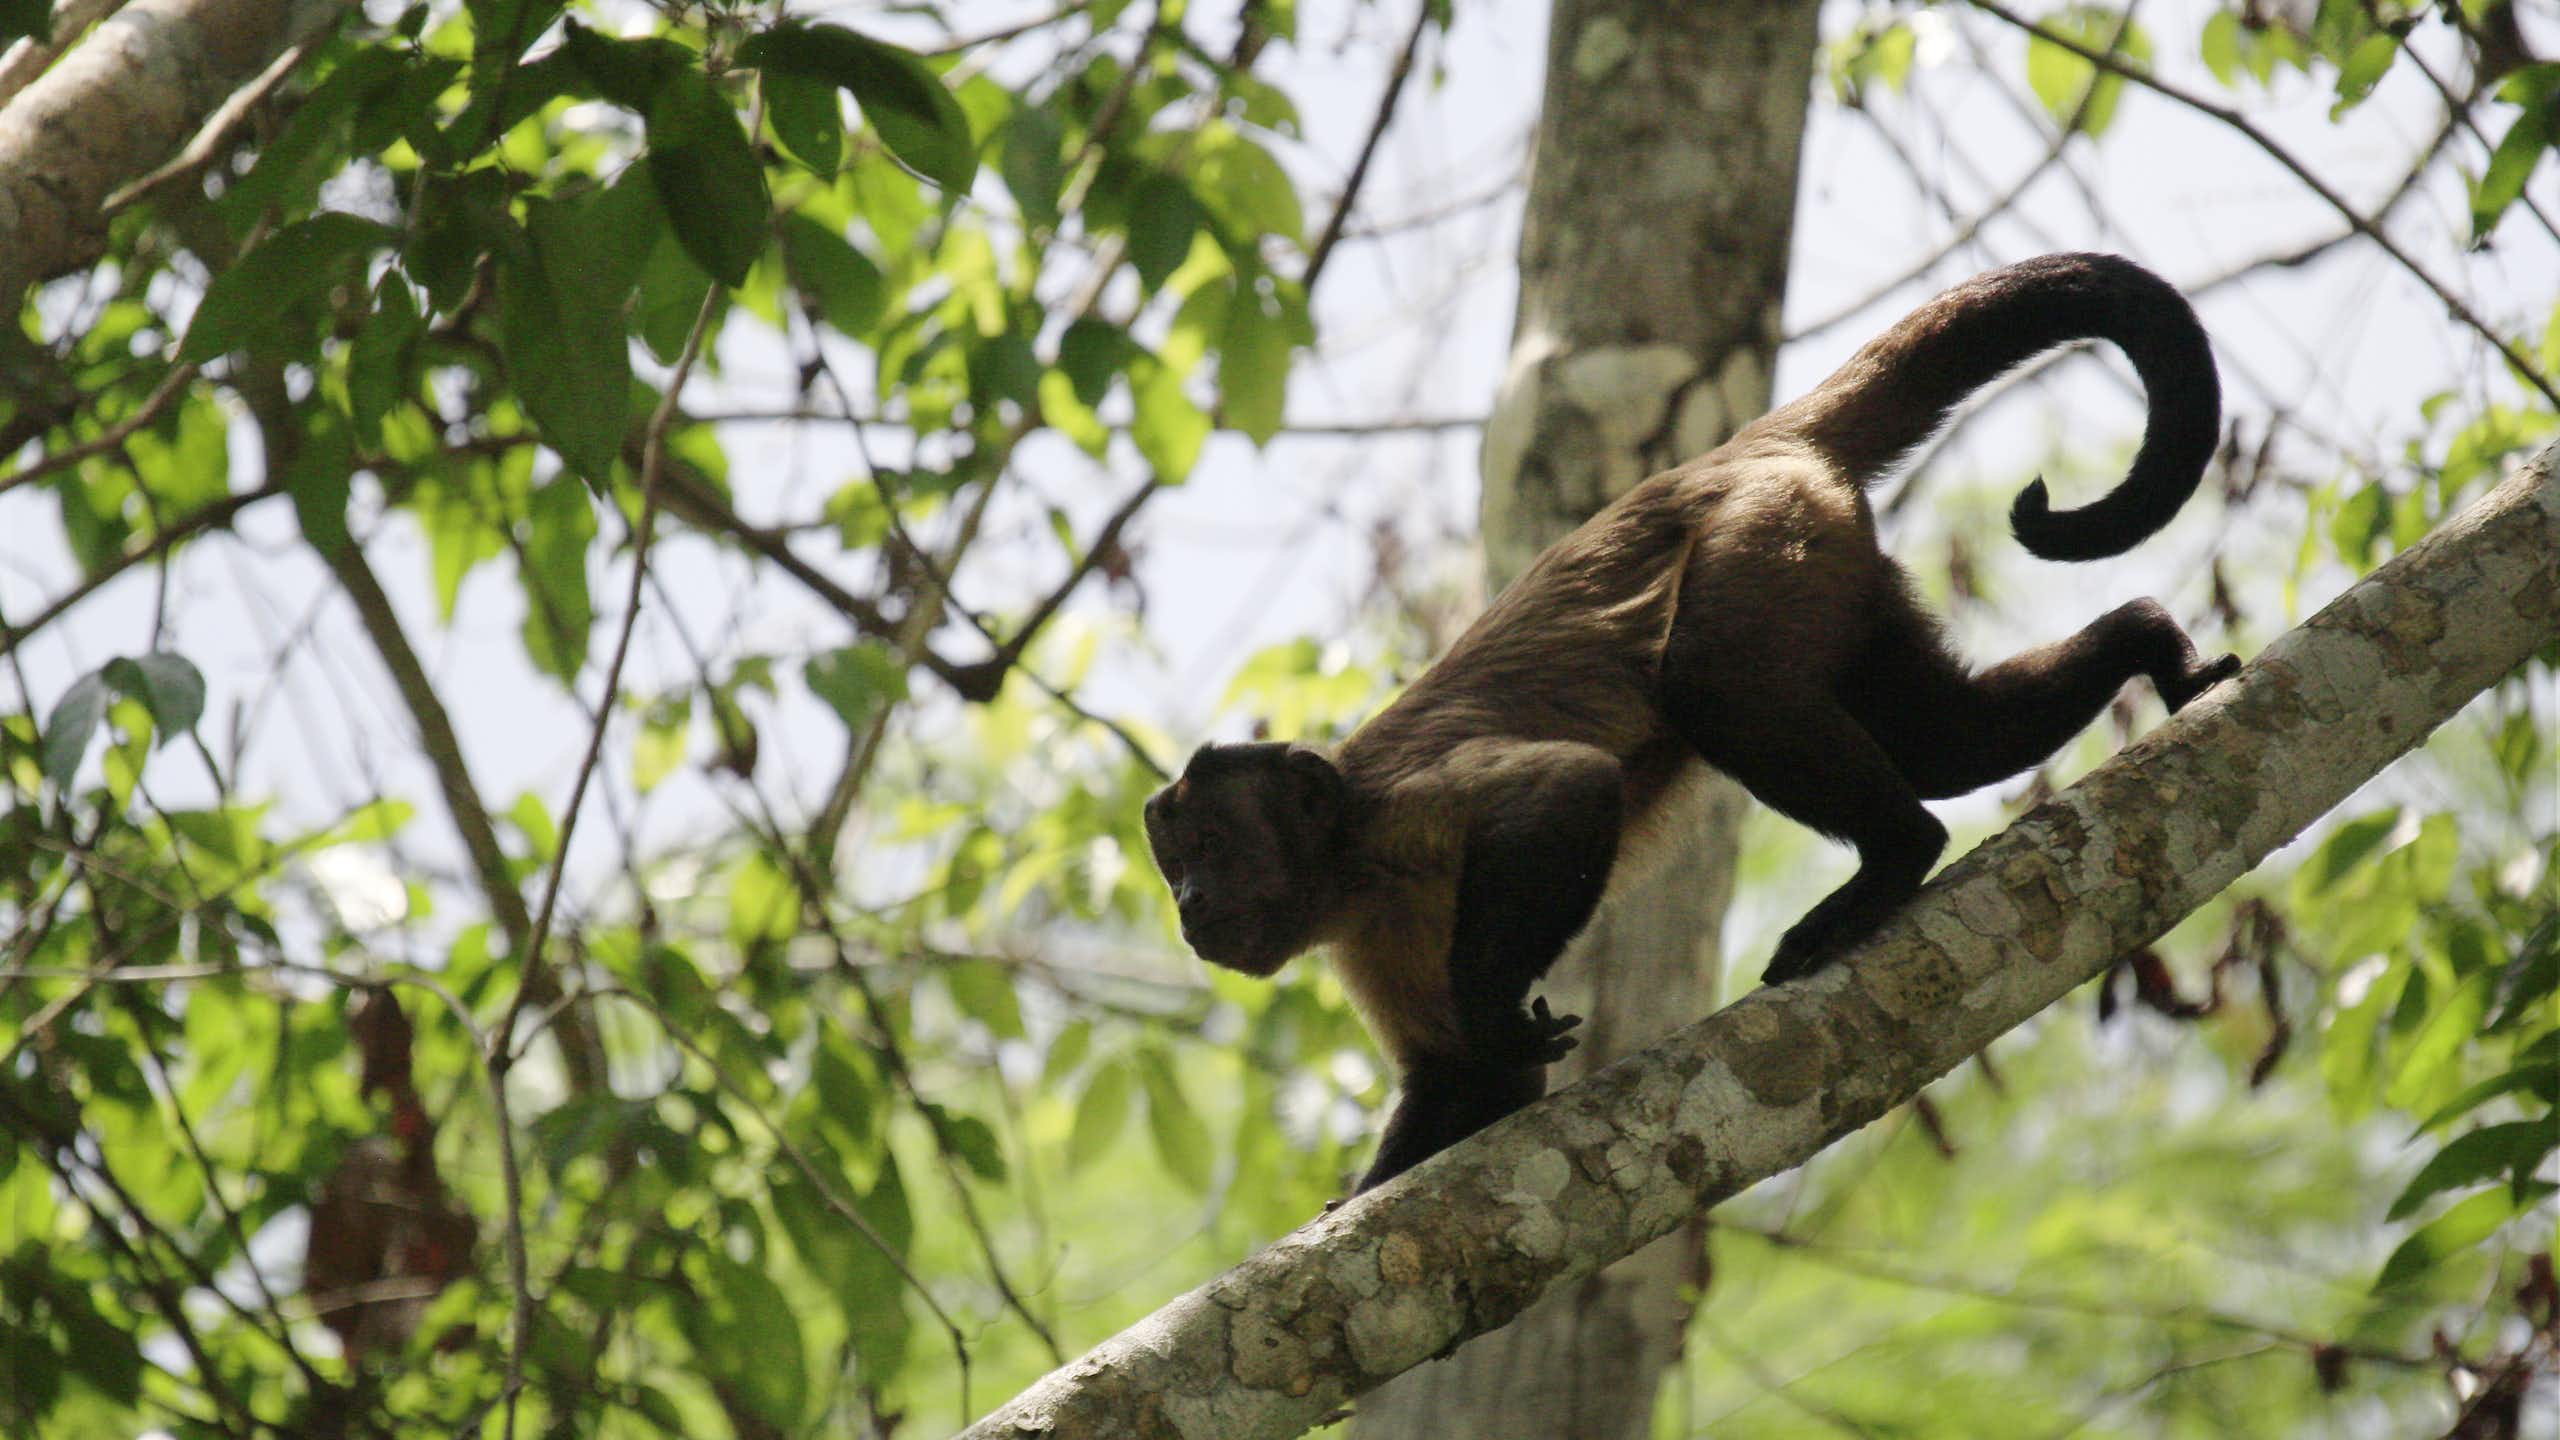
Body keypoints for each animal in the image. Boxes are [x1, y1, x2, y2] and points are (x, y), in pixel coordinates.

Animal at [1142, 254, 2240, 1194]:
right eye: (1174, 864)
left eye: (1210, 844)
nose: (1189, 902)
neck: (1348, 861)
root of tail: (1741, 446)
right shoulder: (1365, 932)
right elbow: (1470, 1081)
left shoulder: (1393, 814)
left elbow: (1565, 788)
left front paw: (1498, 1009)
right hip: (1837, 564)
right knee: (1939, 740)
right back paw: (2143, 642)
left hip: (1764, 527)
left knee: (1715, 687)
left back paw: (1895, 854)